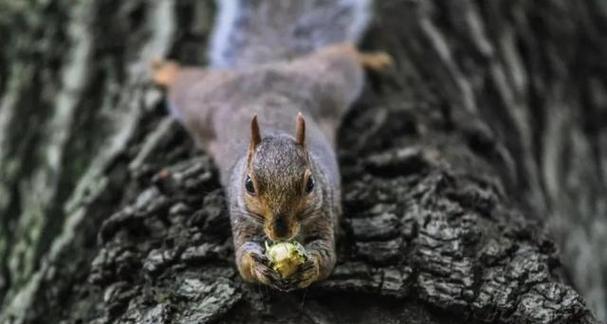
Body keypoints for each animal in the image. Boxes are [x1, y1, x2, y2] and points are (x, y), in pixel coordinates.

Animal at [150, 0, 392, 292]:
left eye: (310, 184)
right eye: (249, 185)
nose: (281, 231)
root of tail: (265, 67)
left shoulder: (324, 212)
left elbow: (327, 256)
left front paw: (311, 266)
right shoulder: (240, 217)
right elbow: (243, 260)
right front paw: (256, 265)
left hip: (327, 83)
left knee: (344, 54)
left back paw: (372, 58)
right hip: (202, 100)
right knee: (184, 83)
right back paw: (165, 70)